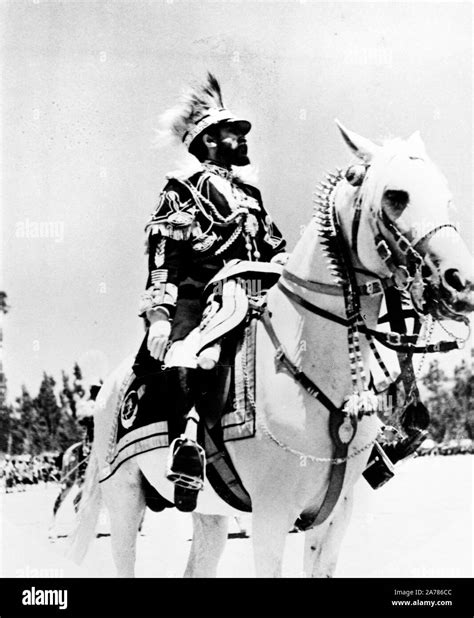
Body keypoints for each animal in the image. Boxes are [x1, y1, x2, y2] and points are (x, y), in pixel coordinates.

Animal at [68, 122, 472, 576]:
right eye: (395, 196)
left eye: (445, 194)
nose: (461, 282)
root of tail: (108, 390)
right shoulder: (271, 517)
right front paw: (158, 324)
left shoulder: (334, 516)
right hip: (123, 499)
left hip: (208, 514)